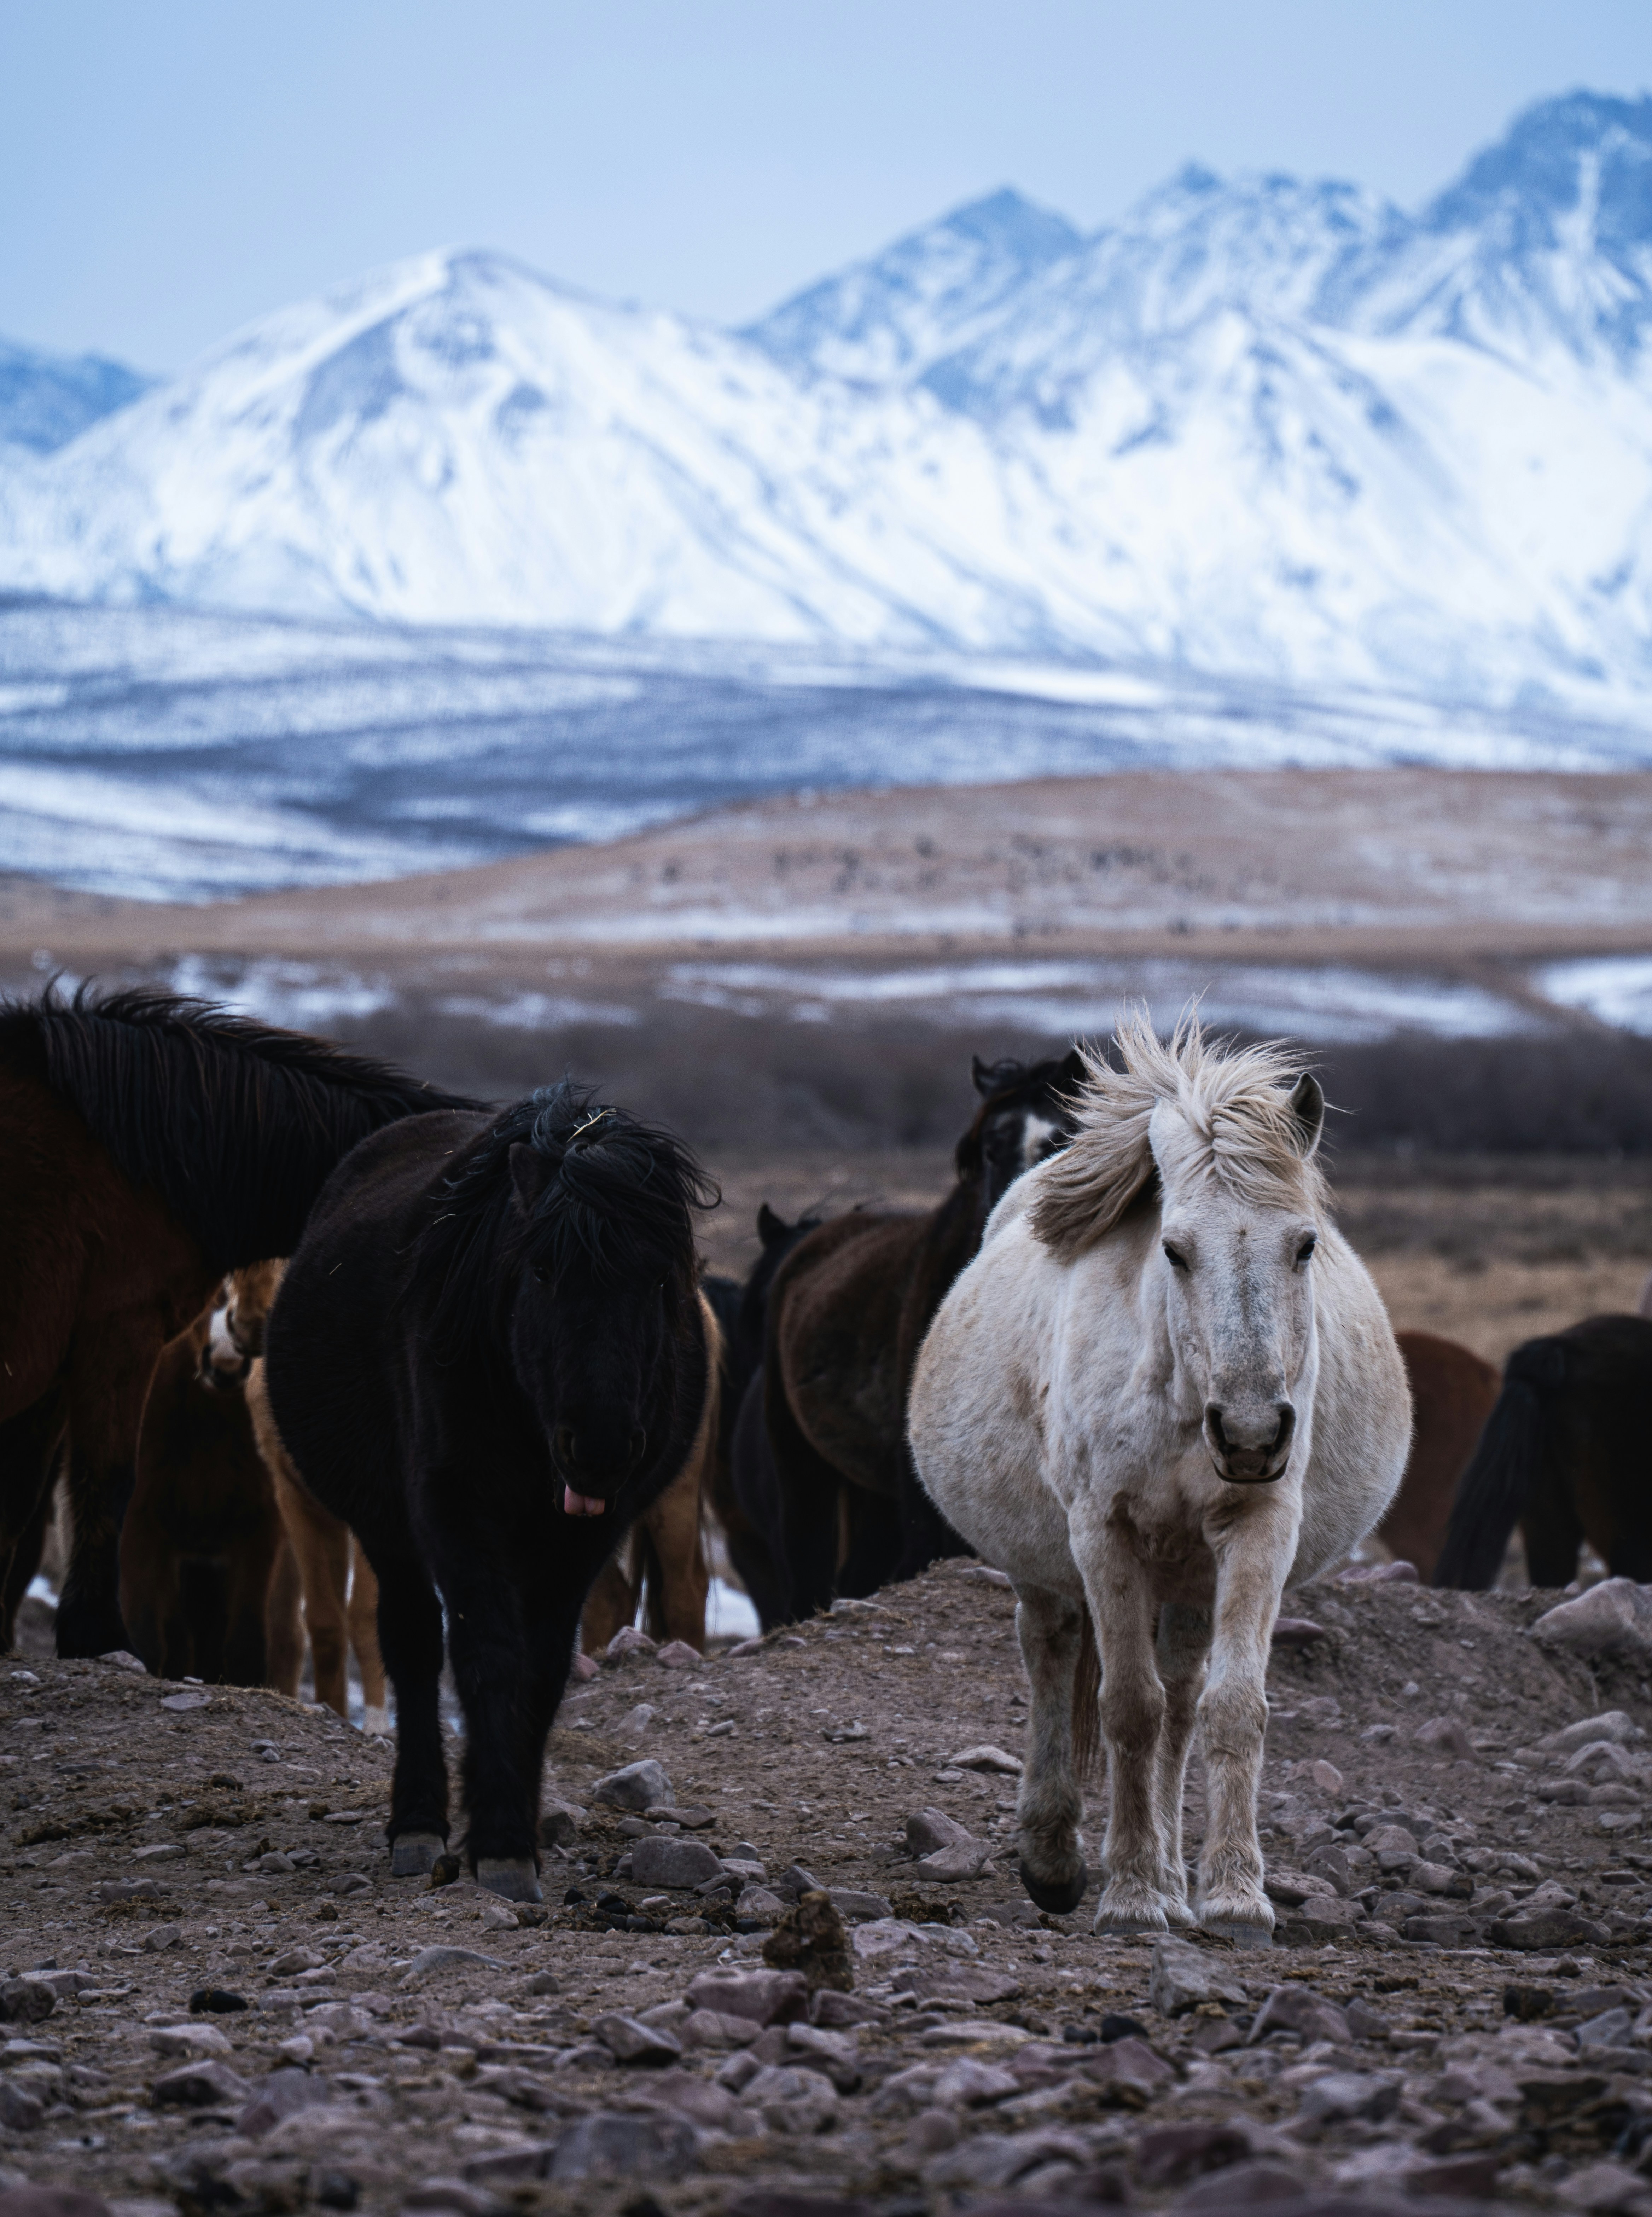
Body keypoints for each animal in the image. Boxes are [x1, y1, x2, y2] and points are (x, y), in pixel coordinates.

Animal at [261, 1082, 718, 1899]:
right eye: (540, 1271)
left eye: (662, 1279)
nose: (598, 1446)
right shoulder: (455, 1512)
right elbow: (485, 1654)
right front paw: (499, 1842)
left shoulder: (580, 1540)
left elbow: (541, 1670)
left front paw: (517, 1829)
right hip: (388, 1530)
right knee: (411, 1646)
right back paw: (417, 1822)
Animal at [909, 1015, 1411, 1942]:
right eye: (1174, 1249)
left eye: (1305, 1244)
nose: (1250, 1431)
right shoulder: (1101, 1531)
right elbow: (1125, 1707)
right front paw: (1132, 1894)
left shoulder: (1257, 1525)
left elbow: (1230, 1706)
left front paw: (1232, 1894)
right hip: (1047, 1564)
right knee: (1052, 1653)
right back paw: (1056, 1859)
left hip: (1185, 1574)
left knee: (1182, 1698)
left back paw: (1177, 1879)